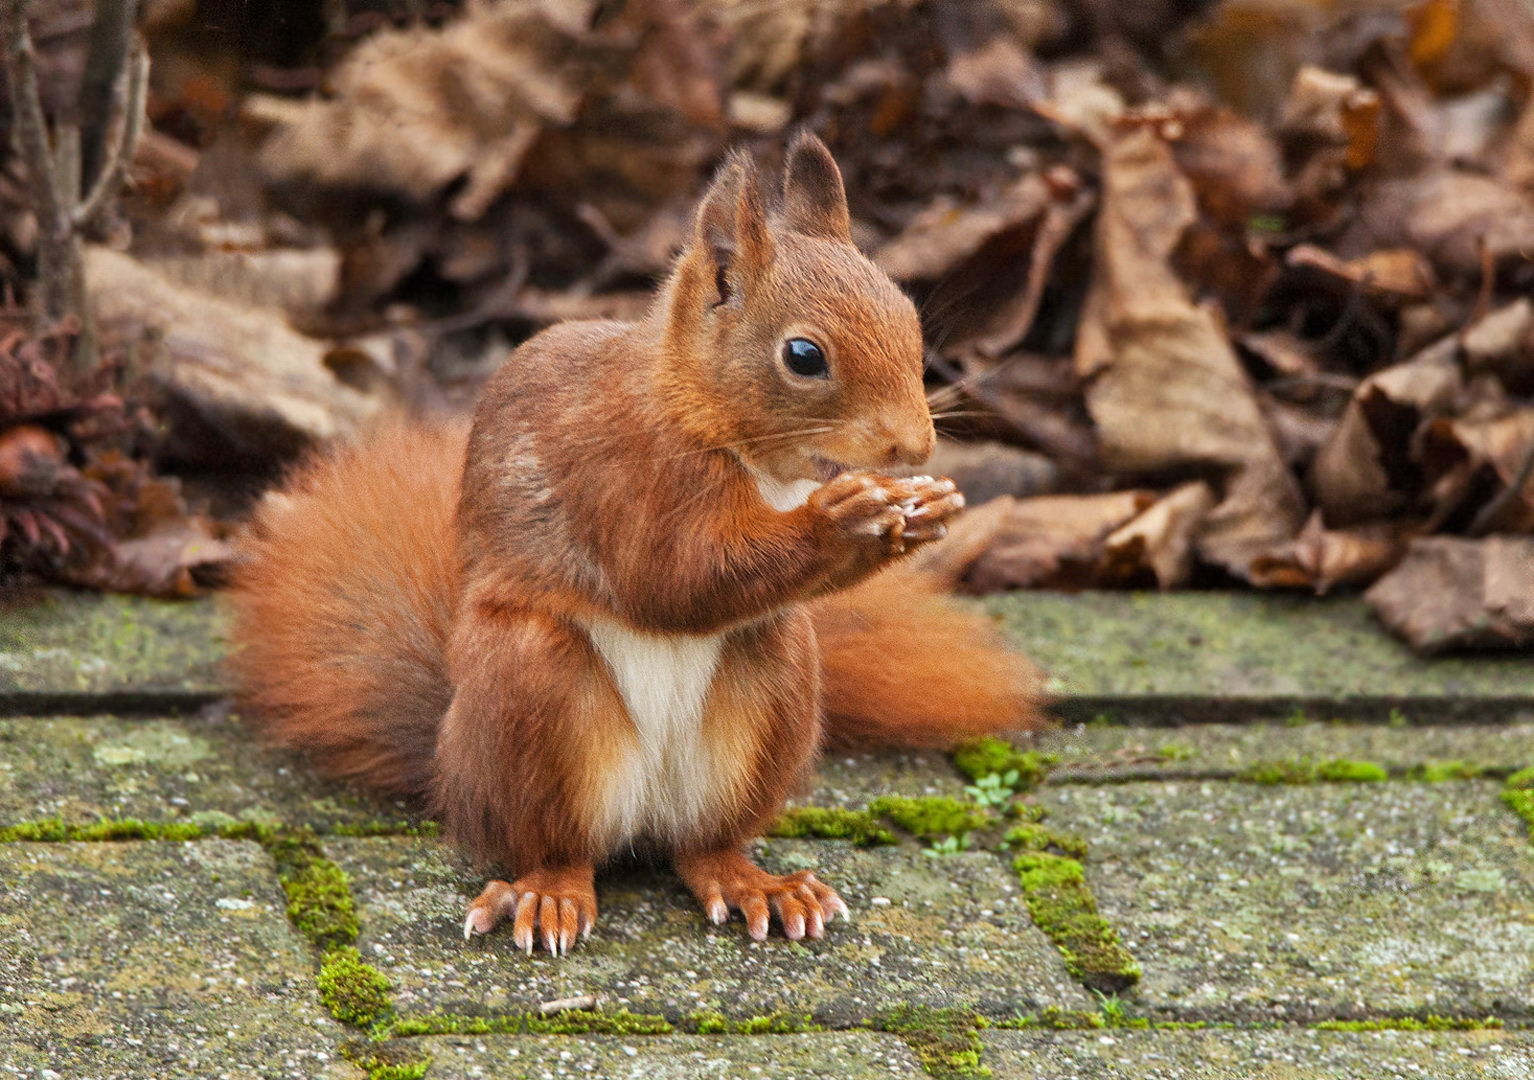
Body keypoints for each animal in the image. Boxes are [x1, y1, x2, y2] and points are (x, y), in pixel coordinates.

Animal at [227, 132, 1043, 951]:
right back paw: (547, 893)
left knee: (704, 847)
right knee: (555, 844)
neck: (701, 417)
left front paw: (925, 509)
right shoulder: (625, 481)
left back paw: (756, 884)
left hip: (774, 679)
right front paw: (848, 521)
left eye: (907, 318)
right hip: (532, 686)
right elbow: (673, 580)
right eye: (804, 356)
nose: (915, 447)